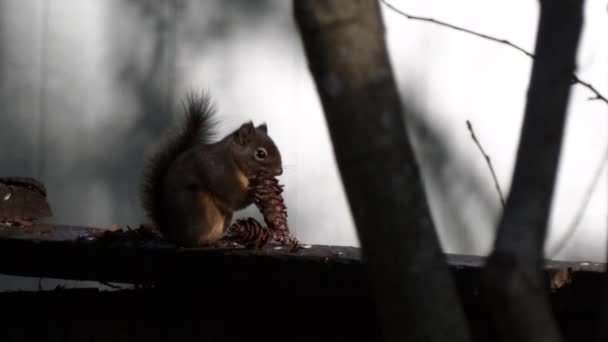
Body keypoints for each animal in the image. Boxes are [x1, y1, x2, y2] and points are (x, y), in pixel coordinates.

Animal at [141, 92, 284, 247]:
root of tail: (171, 234)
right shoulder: (221, 173)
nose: (280, 171)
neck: (234, 159)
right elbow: (234, 198)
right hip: (199, 208)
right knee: (193, 240)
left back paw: (222, 239)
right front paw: (256, 192)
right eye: (260, 154)